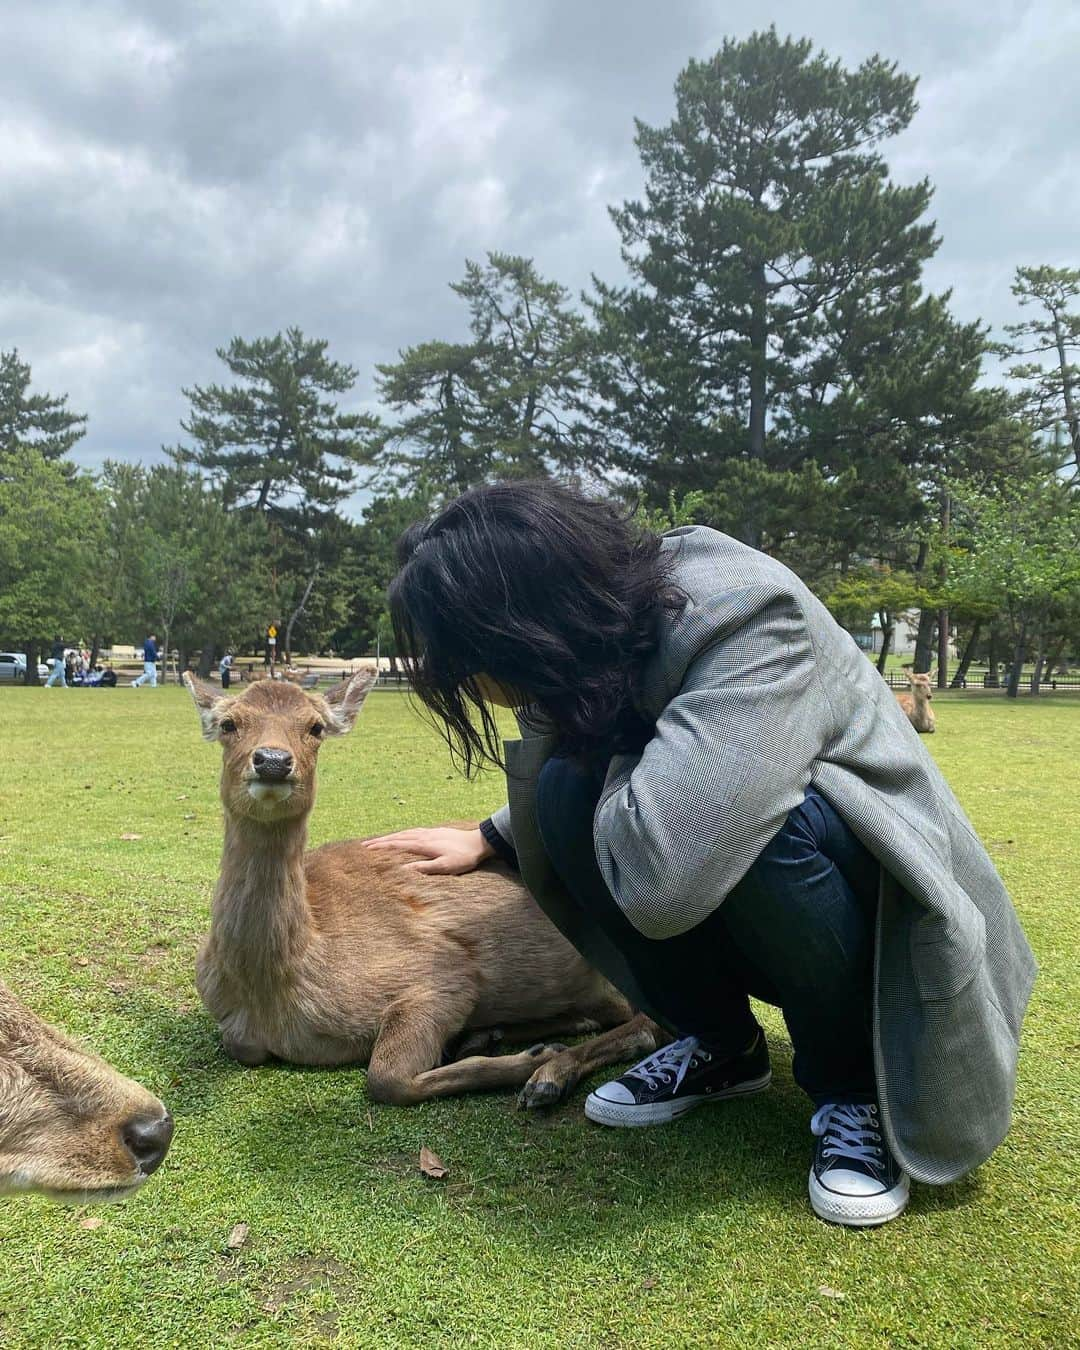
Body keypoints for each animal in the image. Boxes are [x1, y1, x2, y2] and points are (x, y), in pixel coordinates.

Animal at [183, 672, 666, 1107]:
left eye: (315, 726)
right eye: (228, 723)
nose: (272, 760)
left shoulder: (441, 973)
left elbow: (386, 1077)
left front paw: (531, 1062)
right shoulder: (236, 1031)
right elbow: (241, 1046)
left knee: (648, 1025)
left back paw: (546, 1073)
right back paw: (494, 1035)